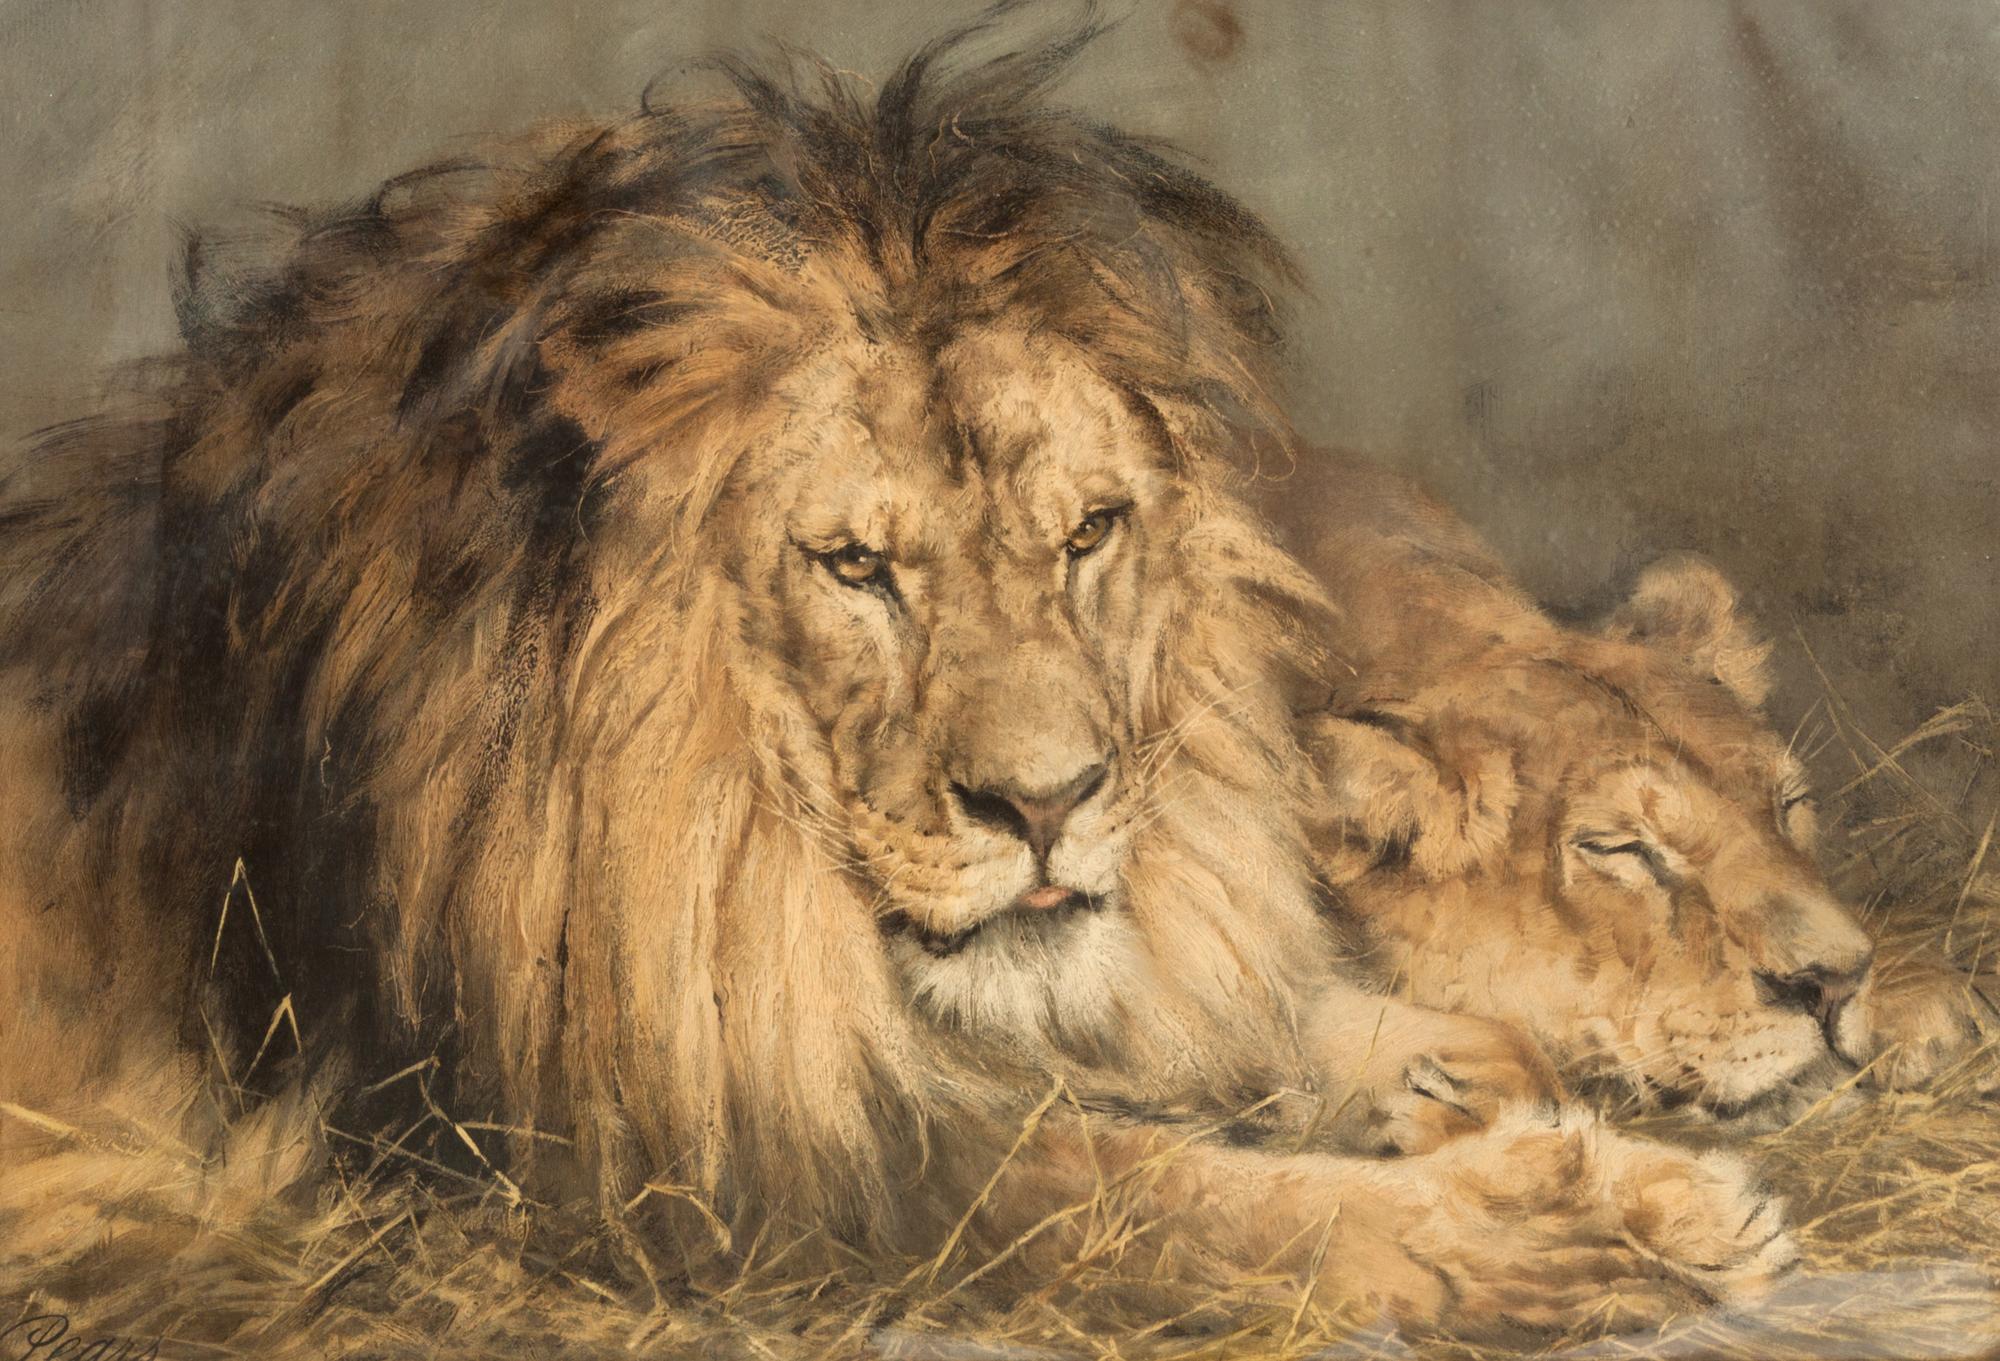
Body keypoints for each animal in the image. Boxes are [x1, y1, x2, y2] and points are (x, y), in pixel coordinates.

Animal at [0, 15, 1796, 1336]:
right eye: (856, 567)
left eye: (1087, 533)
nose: (1050, 806)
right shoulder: (642, 1164)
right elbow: (1125, 1190)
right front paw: (1569, 1221)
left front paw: (1465, 1078)